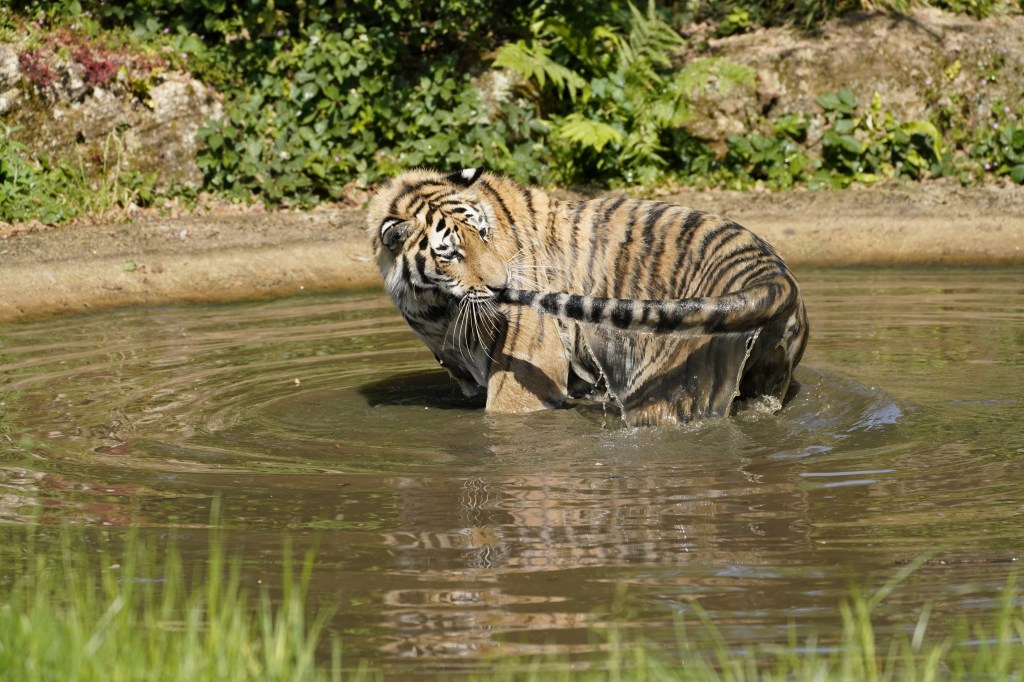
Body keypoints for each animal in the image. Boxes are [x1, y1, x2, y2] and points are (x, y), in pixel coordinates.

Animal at [367, 167, 808, 426]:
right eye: (451, 254)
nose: (501, 287)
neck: (435, 307)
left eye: (484, 234)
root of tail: (771, 272)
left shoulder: (530, 366)